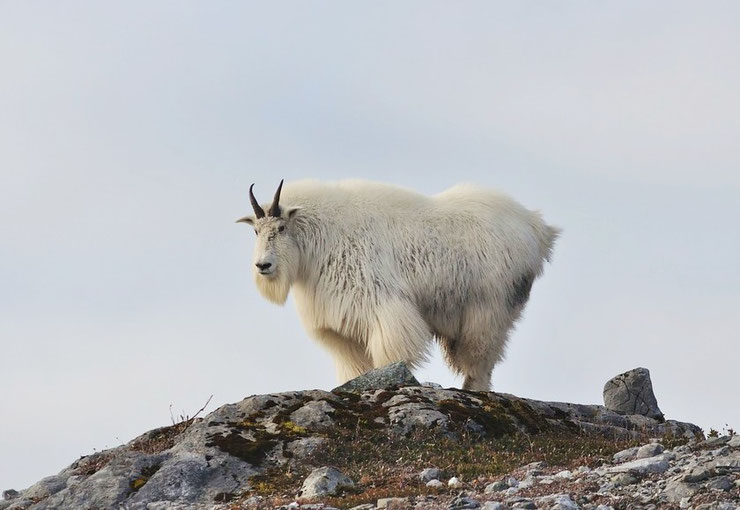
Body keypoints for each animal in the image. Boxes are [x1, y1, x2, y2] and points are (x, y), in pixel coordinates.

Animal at [238, 179, 560, 390]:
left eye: (281, 227)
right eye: (255, 231)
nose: (263, 266)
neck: (321, 236)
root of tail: (538, 228)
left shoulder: (382, 305)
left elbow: (391, 352)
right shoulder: (339, 326)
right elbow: (354, 367)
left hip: (489, 307)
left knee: (482, 355)